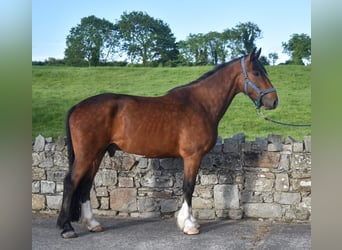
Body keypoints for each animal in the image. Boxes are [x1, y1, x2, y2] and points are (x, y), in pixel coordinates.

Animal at [56, 47, 278, 237]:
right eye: (257, 73)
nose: (274, 101)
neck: (201, 104)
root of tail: (77, 107)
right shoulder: (192, 156)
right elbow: (188, 187)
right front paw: (188, 225)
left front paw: (190, 222)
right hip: (87, 155)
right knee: (71, 182)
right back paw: (67, 228)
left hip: (96, 154)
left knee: (86, 184)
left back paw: (92, 224)